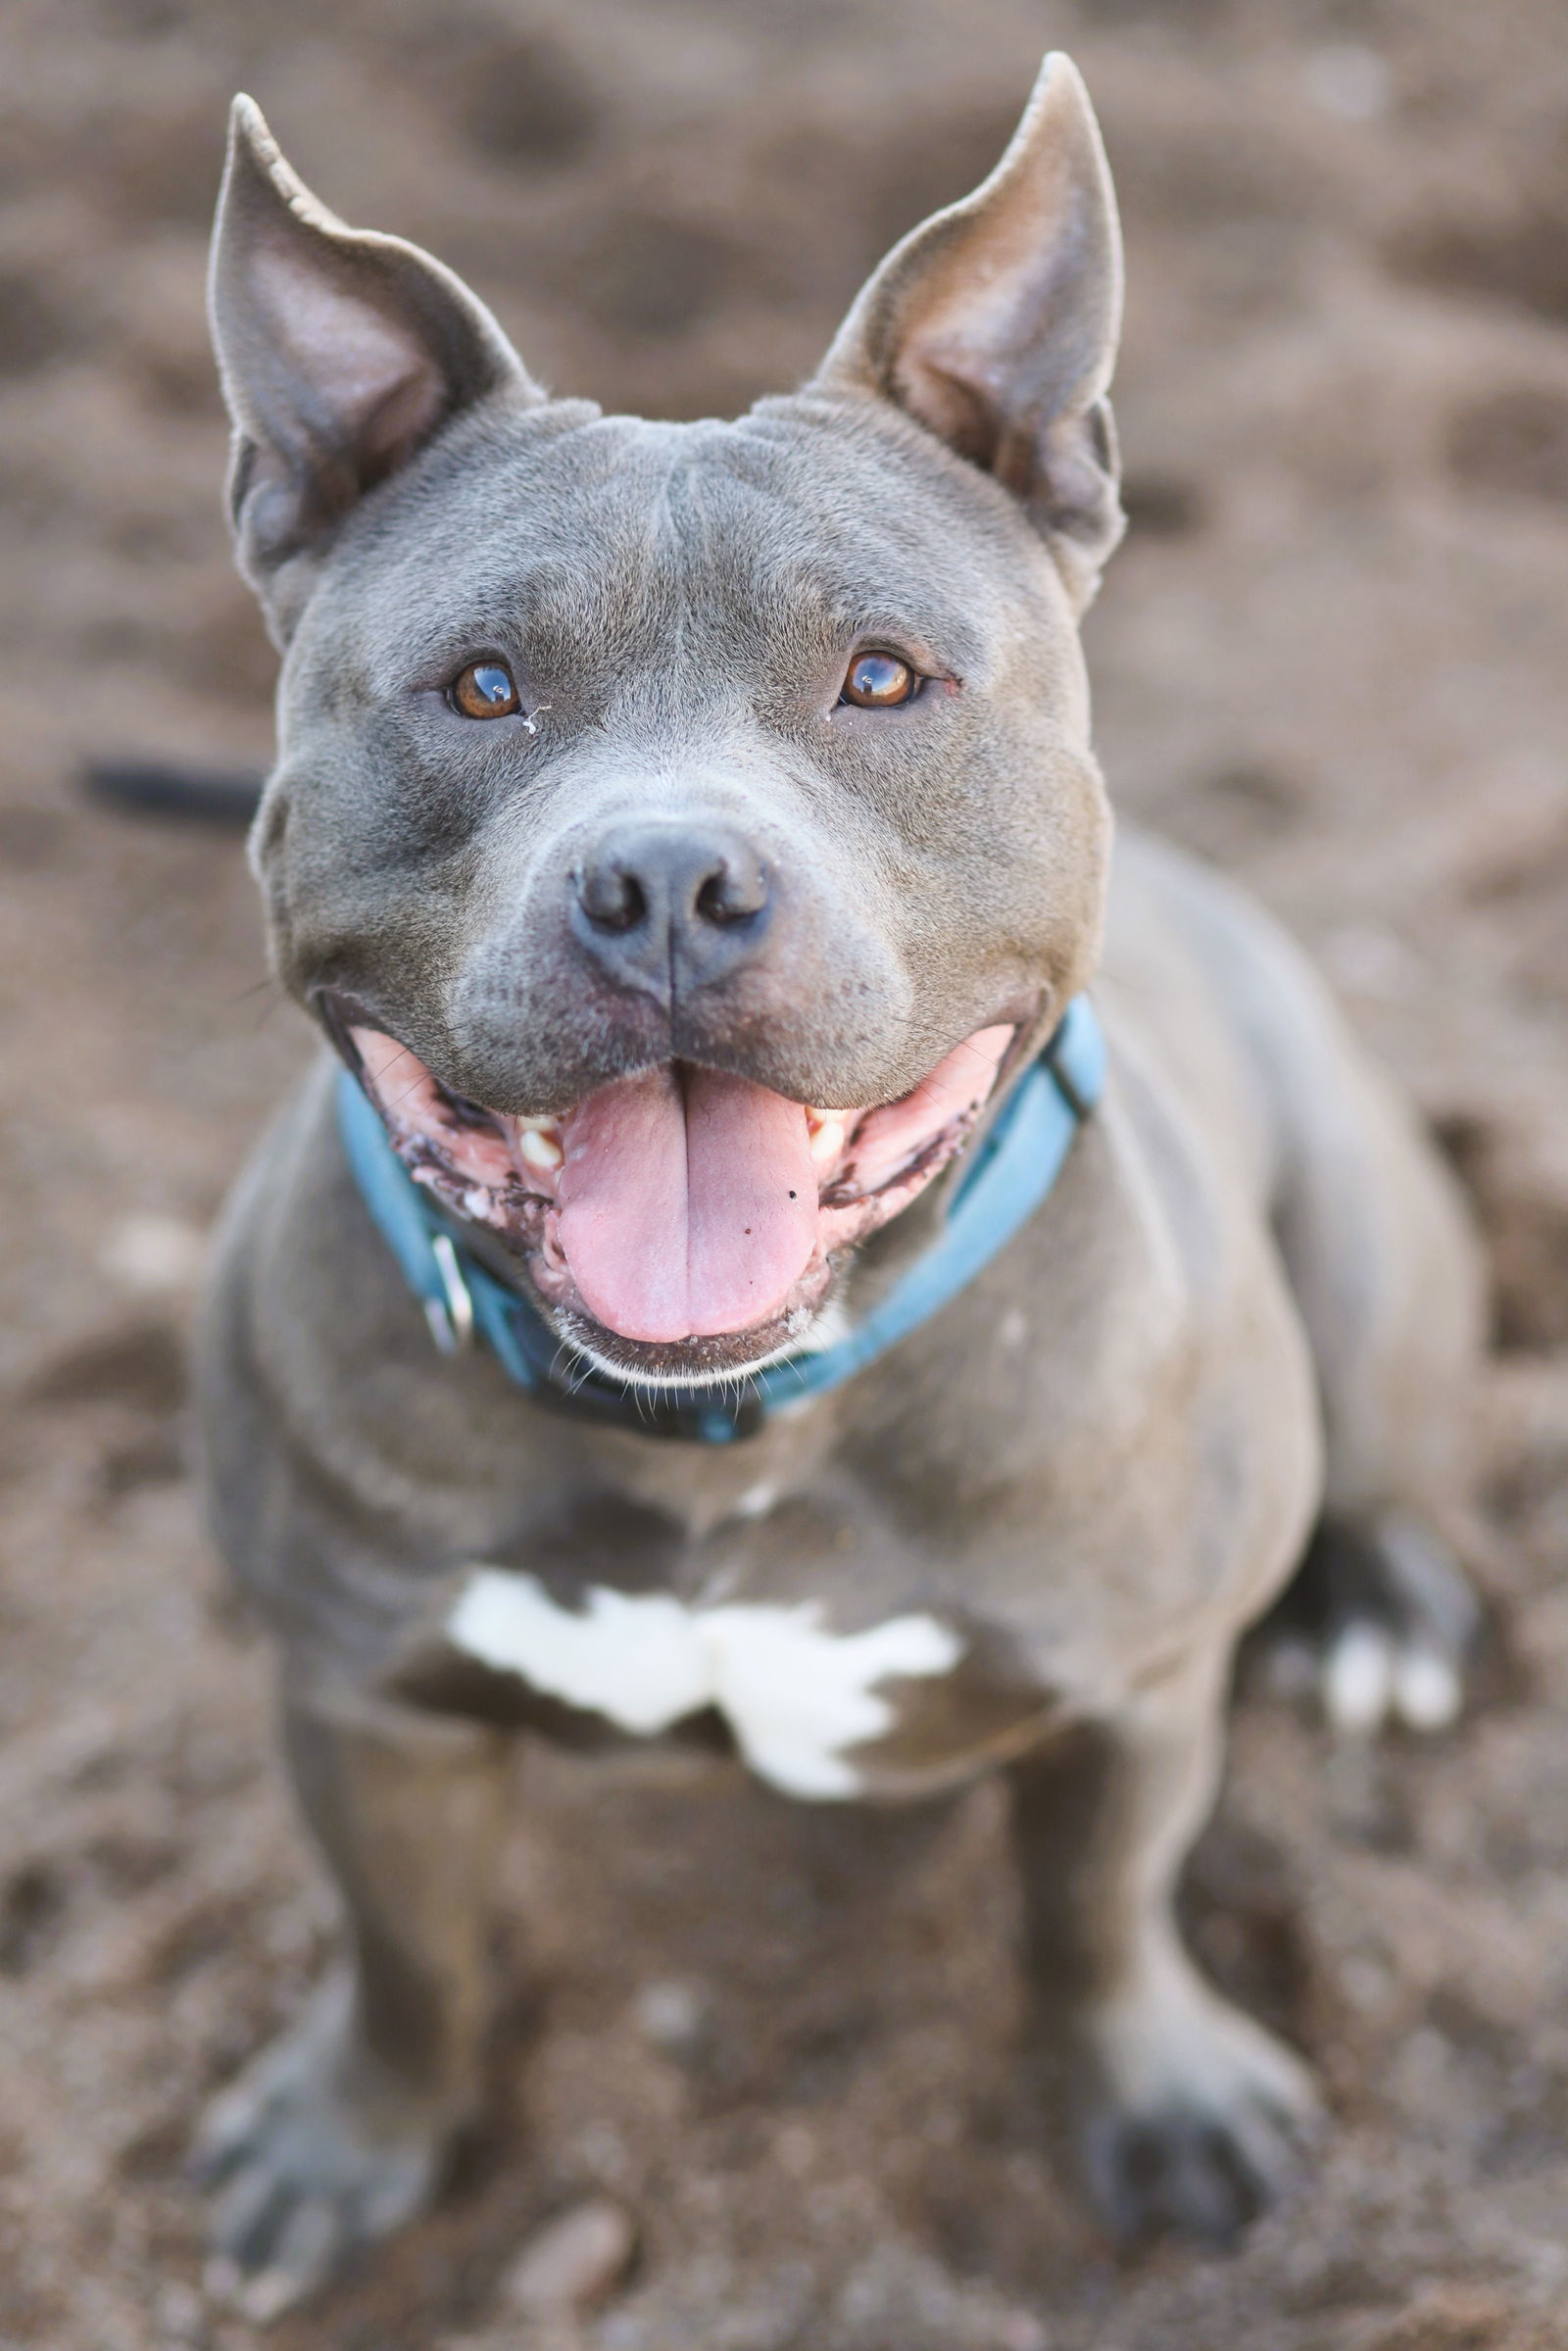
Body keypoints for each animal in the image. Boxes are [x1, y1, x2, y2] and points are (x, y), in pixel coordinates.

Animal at [192, 50, 1486, 2313]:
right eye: (477, 684)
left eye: (882, 674)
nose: (664, 882)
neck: (726, 1421)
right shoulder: (362, 1697)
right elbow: (411, 1955)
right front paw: (352, 2137)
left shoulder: (1133, 1692)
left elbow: (1097, 1912)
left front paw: (1162, 2095)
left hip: (1360, 1227)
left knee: (1390, 1441)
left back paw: (1384, 1607)